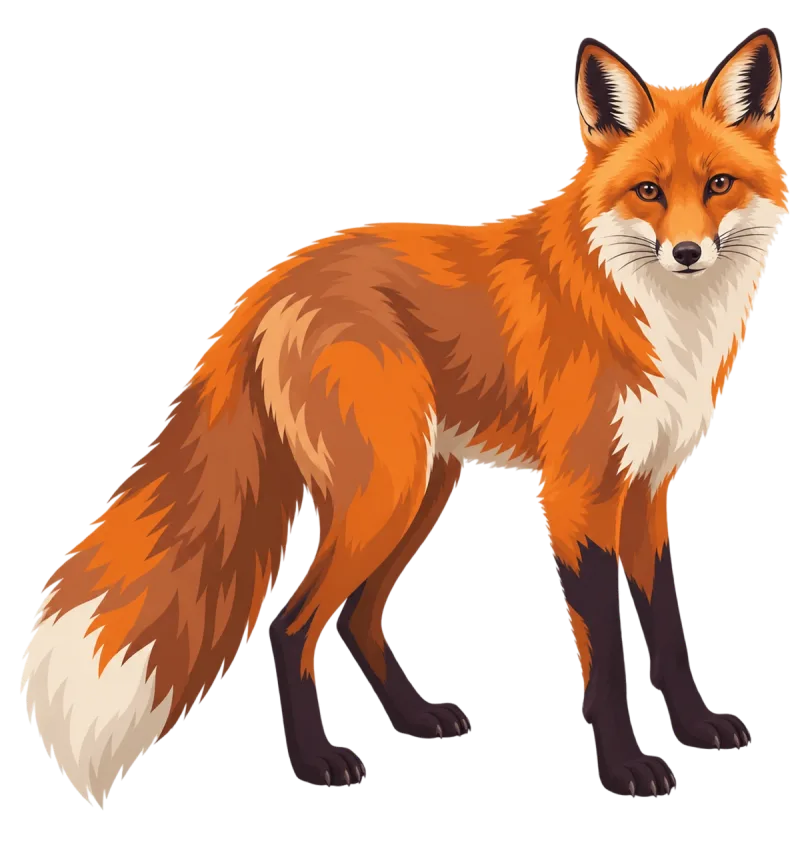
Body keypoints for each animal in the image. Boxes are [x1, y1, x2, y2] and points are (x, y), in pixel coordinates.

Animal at [21, 28, 787, 803]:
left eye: (719, 184)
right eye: (649, 191)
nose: (687, 252)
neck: (658, 316)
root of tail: (271, 280)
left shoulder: (648, 488)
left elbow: (664, 620)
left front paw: (696, 728)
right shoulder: (576, 493)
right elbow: (603, 647)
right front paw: (625, 765)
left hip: (419, 488)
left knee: (355, 616)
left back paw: (416, 719)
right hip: (386, 489)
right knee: (292, 624)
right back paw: (317, 762)